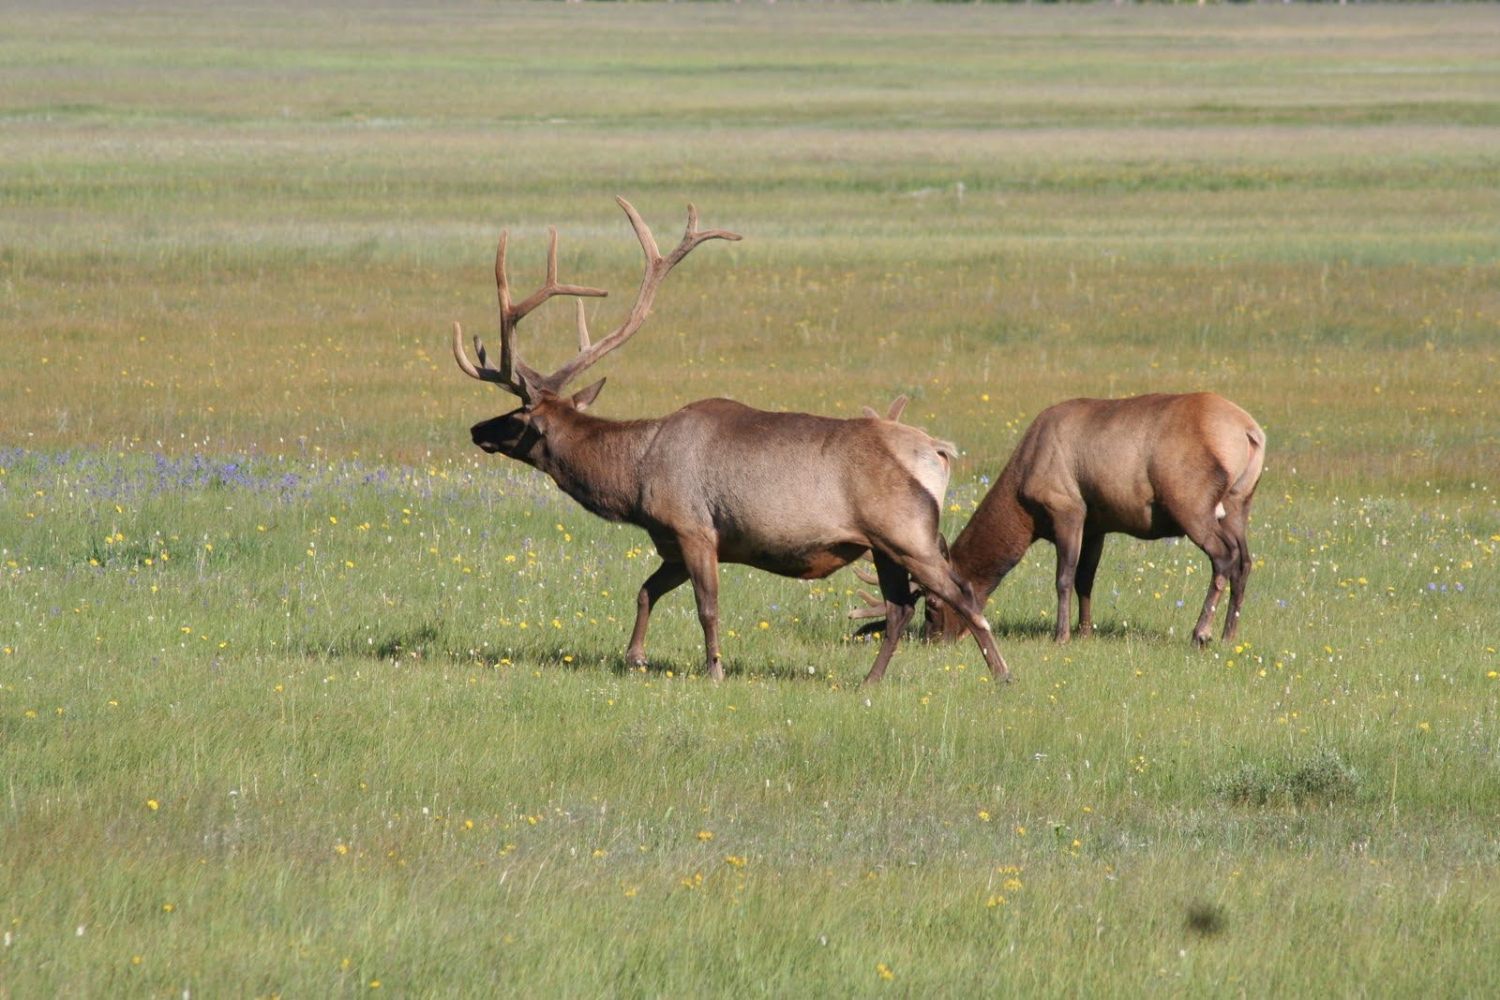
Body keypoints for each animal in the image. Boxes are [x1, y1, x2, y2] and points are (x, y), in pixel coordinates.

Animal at [452, 197, 1011, 686]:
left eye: (518, 415)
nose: (477, 429)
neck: (633, 481)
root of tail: (938, 452)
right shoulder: (673, 542)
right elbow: (645, 592)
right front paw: (635, 658)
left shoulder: (694, 527)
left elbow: (707, 608)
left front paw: (714, 670)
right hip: (880, 546)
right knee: (899, 608)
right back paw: (869, 682)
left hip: (906, 533)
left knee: (962, 595)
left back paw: (1002, 675)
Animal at [853, 393, 1265, 648]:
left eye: (933, 606)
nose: (934, 639)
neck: (1022, 499)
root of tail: (1251, 431)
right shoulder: (1097, 522)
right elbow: (1086, 579)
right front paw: (1084, 632)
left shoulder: (1067, 507)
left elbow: (1064, 577)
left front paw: (1061, 634)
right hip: (1239, 503)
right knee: (1245, 561)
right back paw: (1229, 634)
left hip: (1191, 502)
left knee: (1223, 558)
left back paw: (1201, 633)